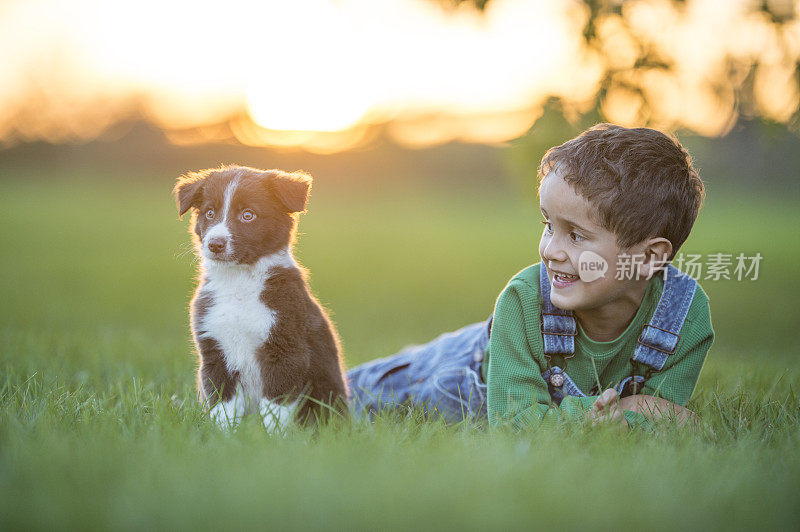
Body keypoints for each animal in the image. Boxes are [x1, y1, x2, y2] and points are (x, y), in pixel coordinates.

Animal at [173, 164, 348, 430]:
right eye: (210, 213)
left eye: (248, 215)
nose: (215, 244)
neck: (239, 281)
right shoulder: (214, 351)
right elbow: (223, 405)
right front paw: (224, 435)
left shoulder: (285, 350)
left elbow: (276, 406)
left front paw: (271, 437)